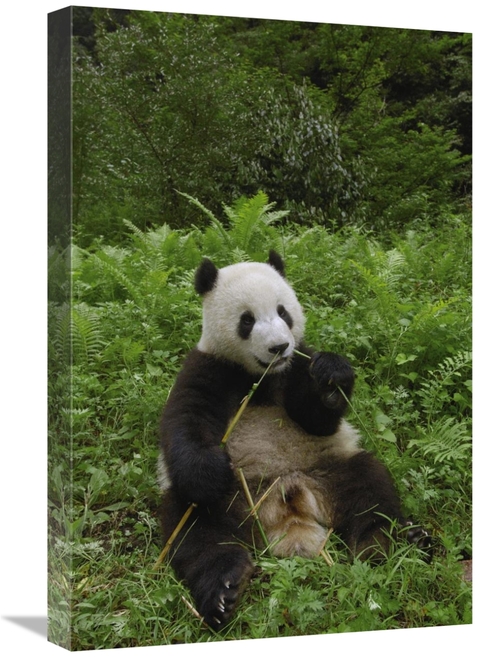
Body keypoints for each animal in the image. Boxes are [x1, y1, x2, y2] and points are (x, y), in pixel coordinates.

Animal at [158, 250, 431, 629]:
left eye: (283, 312)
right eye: (247, 320)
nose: (279, 347)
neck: (261, 376)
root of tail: (288, 502)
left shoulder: (298, 365)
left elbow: (316, 419)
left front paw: (332, 378)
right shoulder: (209, 367)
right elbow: (186, 422)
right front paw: (210, 472)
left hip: (329, 468)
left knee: (370, 487)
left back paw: (390, 543)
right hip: (232, 499)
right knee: (194, 528)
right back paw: (223, 587)